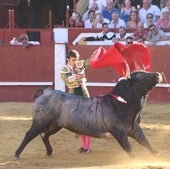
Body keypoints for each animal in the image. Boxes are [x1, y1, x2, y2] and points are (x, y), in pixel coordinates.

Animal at [13, 71, 161, 160]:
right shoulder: (119, 132)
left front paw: (156, 153)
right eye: (140, 76)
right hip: (40, 122)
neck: (121, 103)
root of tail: (47, 91)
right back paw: (17, 154)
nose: (157, 74)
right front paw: (134, 159)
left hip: (55, 125)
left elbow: (145, 141)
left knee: (44, 134)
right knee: (30, 134)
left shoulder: (134, 129)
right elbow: (128, 147)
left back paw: (49, 151)